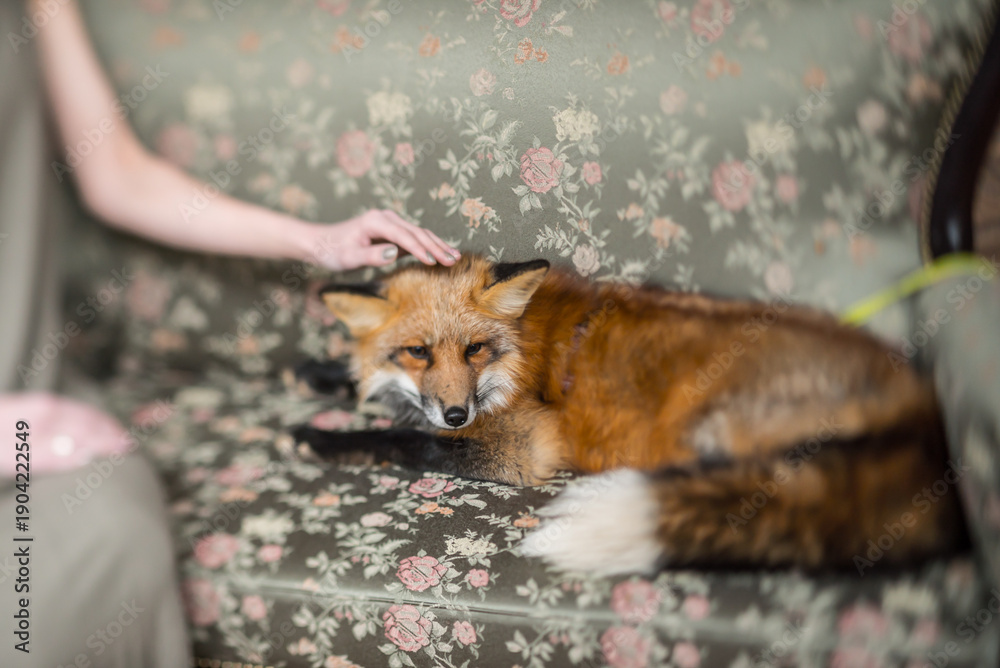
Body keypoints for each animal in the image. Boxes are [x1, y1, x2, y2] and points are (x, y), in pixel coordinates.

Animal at [288, 254, 967, 575]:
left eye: (475, 349)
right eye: (418, 352)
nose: (456, 413)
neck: (520, 349)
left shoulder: (523, 447)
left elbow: (405, 440)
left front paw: (319, 437)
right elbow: (368, 390)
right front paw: (318, 373)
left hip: (714, 429)